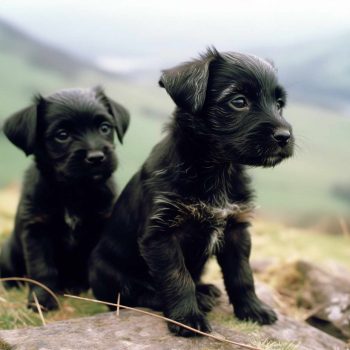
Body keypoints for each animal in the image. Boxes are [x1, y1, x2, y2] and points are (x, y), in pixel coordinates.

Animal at [0, 86, 130, 310]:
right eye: (62, 135)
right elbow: (42, 269)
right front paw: (42, 301)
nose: (96, 157)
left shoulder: (103, 223)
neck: (74, 190)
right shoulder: (36, 229)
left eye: (105, 128)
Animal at [89, 49, 294, 336]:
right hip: (105, 271)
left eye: (279, 103)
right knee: (130, 295)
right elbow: (177, 278)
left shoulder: (236, 230)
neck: (216, 170)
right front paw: (187, 319)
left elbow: (242, 274)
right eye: (239, 101)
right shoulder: (161, 235)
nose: (285, 136)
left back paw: (205, 290)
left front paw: (253, 309)